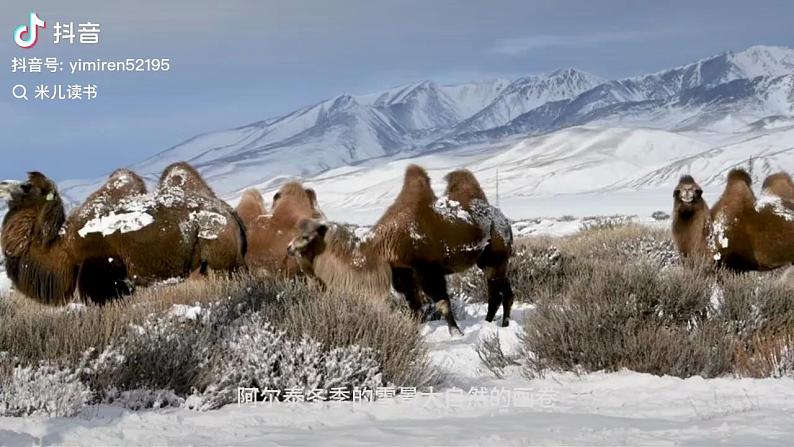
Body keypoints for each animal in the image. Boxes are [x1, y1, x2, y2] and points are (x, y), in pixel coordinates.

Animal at [288, 164, 516, 332]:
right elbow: (414, 306)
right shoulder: (402, 270)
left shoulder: (427, 269)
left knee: (499, 292)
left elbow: (441, 302)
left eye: (306, 236)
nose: (289, 248)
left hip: (497, 256)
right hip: (487, 261)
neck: (381, 246)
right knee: (500, 291)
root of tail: (504, 220)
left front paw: (456, 332)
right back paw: (493, 322)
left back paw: (501, 324)